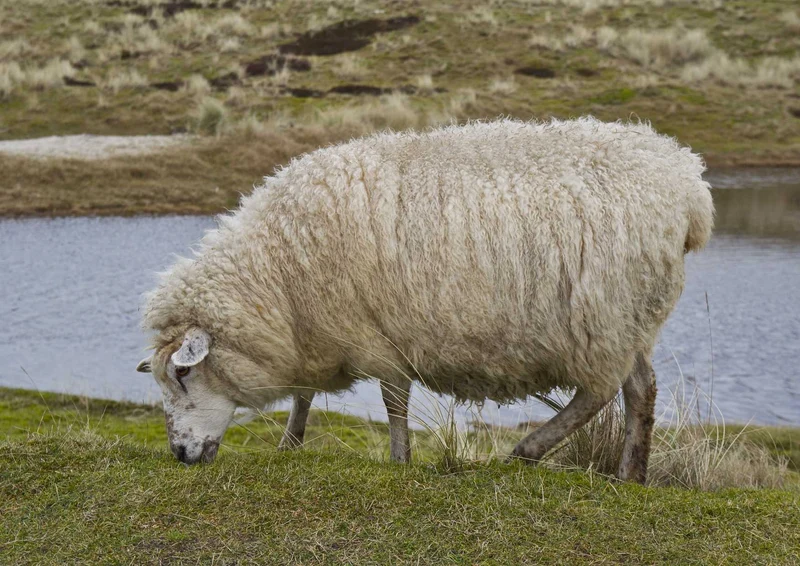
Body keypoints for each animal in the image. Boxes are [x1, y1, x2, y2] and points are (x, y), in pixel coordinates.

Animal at [136, 117, 713, 483]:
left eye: (183, 374)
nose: (180, 454)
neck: (277, 272)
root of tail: (688, 183)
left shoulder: (373, 334)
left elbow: (394, 401)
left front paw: (400, 459)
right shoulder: (320, 332)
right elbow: (305, 394)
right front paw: (290, 443)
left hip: (602, 315)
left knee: (599, 391)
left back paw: (529, 451)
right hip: (630, 318)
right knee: (641, 388)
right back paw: (629, 474)